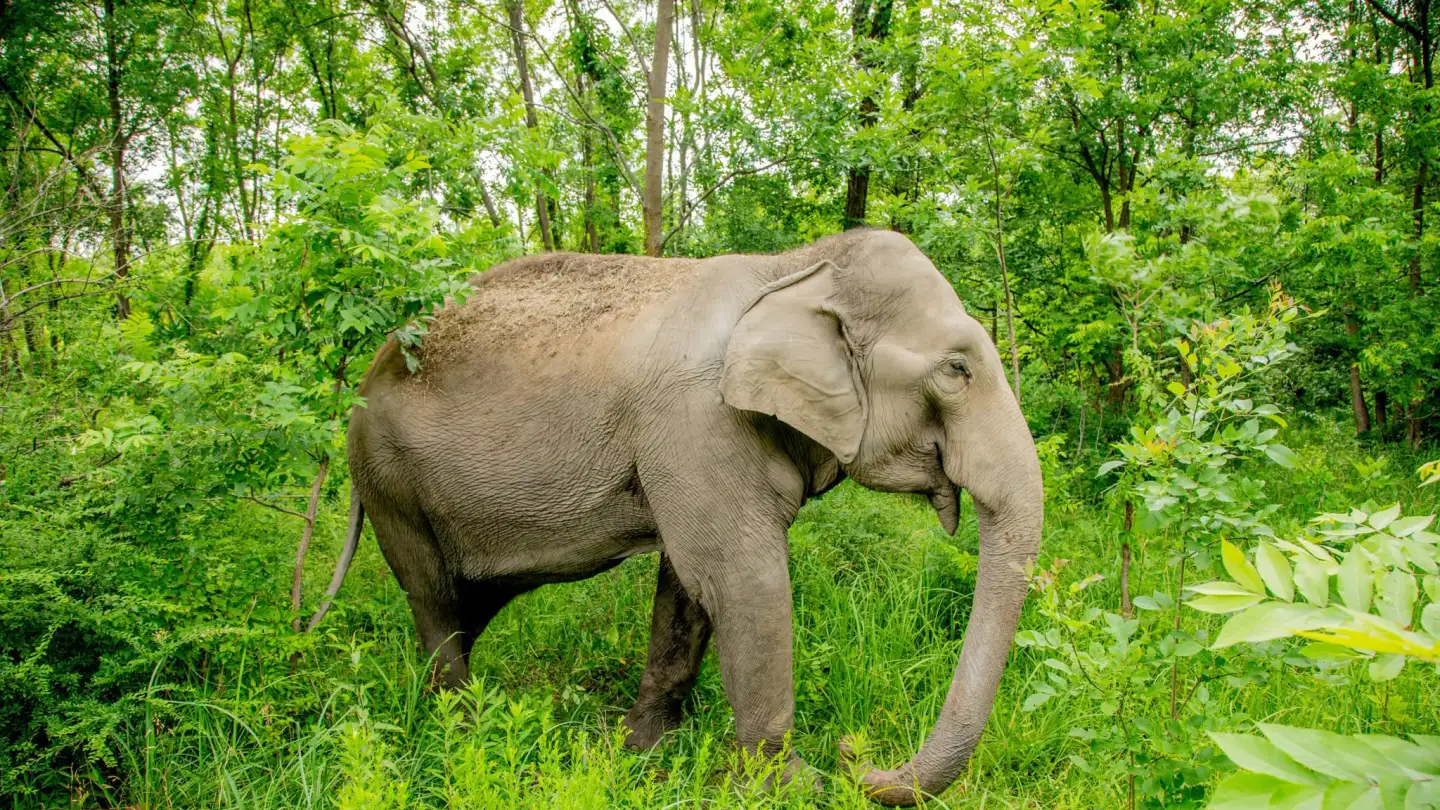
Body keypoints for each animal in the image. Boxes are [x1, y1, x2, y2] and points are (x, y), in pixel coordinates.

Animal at [308, 228, 1043, 805]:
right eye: (956, 371)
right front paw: (793, 786)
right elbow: (744, 580)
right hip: (389, 477)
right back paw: (465, 733)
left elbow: (688, 586)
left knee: (467, 605)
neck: (794, 266)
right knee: (433, 596)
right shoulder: (697, 420)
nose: (857, 760)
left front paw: (643, 750)